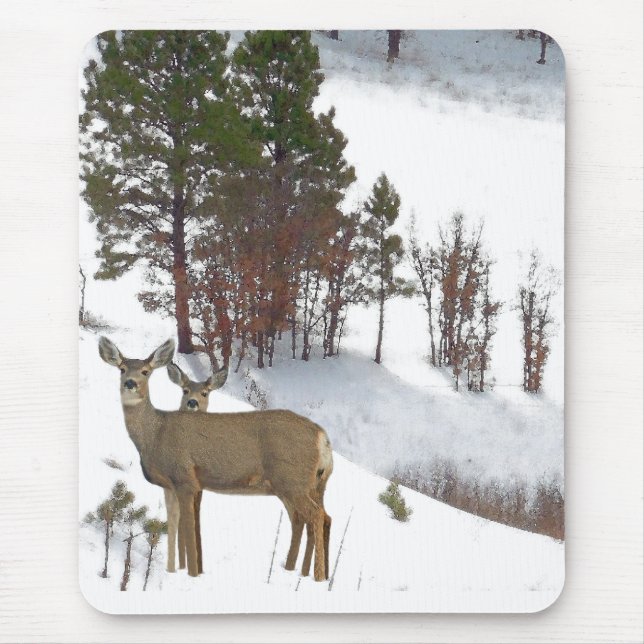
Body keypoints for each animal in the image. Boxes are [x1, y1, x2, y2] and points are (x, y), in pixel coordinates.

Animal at [98, 337, 333, 581]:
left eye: (145, 371)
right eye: (122, 369)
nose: (130, 383)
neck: (156, 434)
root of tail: (322, 437)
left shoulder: (185, 479)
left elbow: (189, 530)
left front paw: (193, 573)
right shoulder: (171, 485)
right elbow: (173, 527)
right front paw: (175, 570)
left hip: (293, 481)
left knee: (315, 516)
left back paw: (316, 576)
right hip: (307, 485)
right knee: (316, 517)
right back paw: (309, 572)